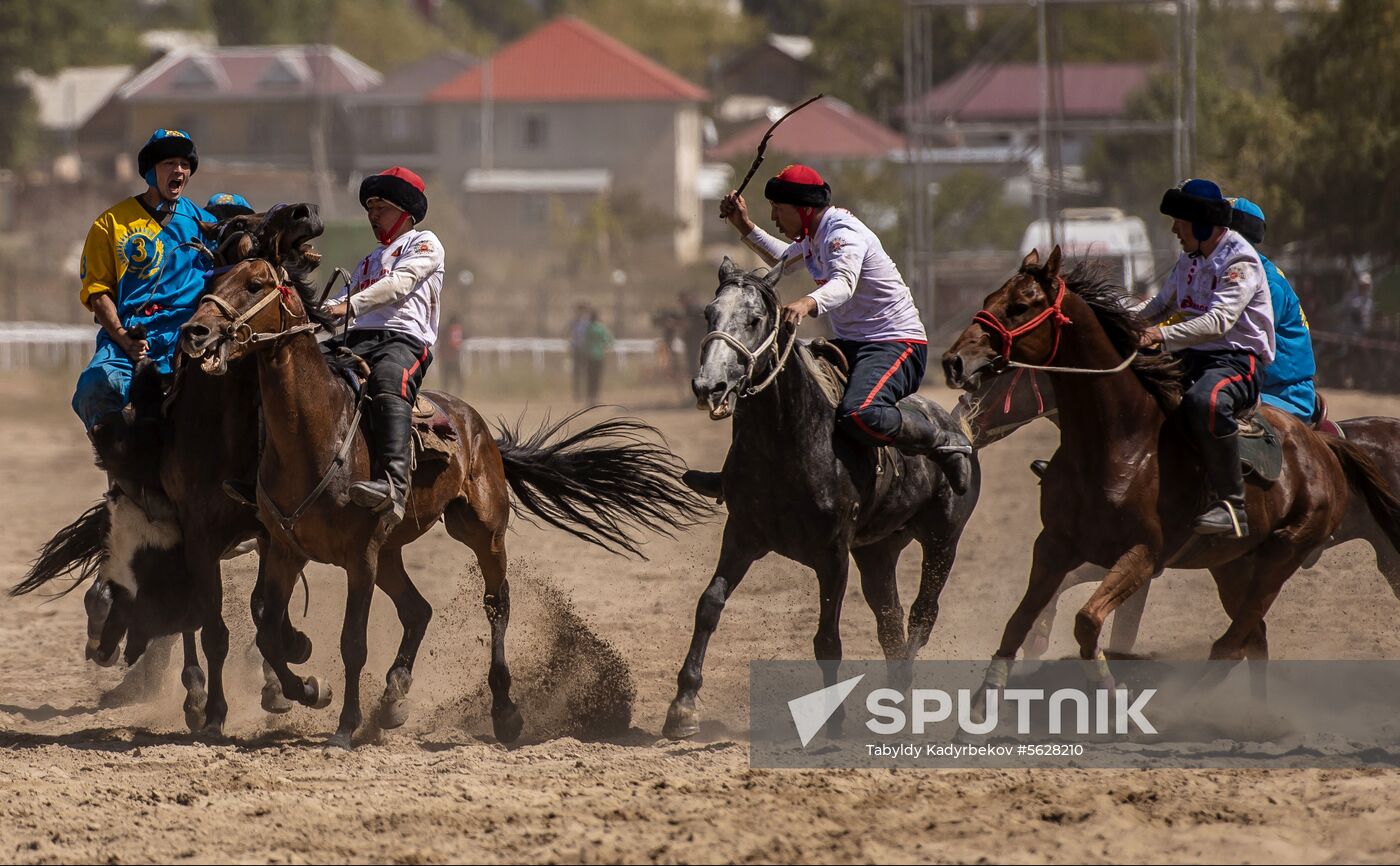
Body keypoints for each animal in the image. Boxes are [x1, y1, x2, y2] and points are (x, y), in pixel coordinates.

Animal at [183, 251, 711, 749]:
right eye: (215, 279)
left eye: (255, 284)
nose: (194, 331)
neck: (316, 434)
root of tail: (479, 428)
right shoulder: (286, 551)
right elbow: (269, 633)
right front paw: (312, 689)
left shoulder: (359, 558)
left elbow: (353, 643)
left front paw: (345, 726)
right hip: (391, 552)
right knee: (418, 611)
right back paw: (393, 699)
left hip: (481, 532)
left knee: (497, 605)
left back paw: (504, 711)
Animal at [660, 257, 980, 738]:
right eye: (708, 314)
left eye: (755, 319)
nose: (709, 387)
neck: (788, 440)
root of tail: (957, 425)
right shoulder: (742, 535)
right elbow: (709, 605)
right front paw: (682, 706)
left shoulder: (833, 554)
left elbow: (827, 636)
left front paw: (834, 719)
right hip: (877, 552)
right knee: (890, 620)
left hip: (943, 540)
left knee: (922, 615)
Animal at [935, 247, 1400, 688]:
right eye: (989, 299)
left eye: (1020, 306)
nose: (955, 365)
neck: (1123, 441)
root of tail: (1326, 449)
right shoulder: (1060, 543)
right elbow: (1033, 612)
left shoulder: (1142, 555)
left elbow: (1095, 617)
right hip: (1234, 564)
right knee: (1252, 638)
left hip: (1288, 554)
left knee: (1233, 642)